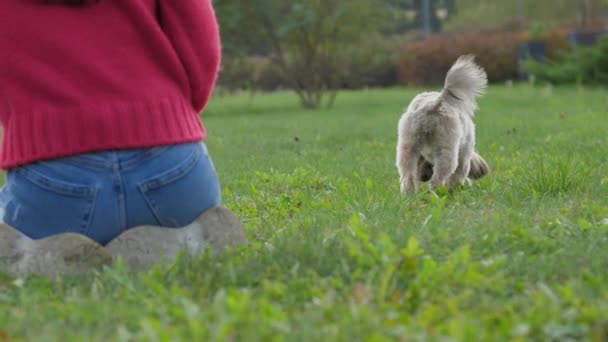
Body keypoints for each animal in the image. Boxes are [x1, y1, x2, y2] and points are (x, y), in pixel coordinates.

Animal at [400, 55, 490, 194]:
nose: (423, 177)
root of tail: (431, 105)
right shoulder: (464, 155)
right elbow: (457, 176)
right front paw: (456, 188)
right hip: (447, 152)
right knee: (437, 180)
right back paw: (438, 193)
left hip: (408, 148)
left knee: (408, 177)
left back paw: (409, 194)